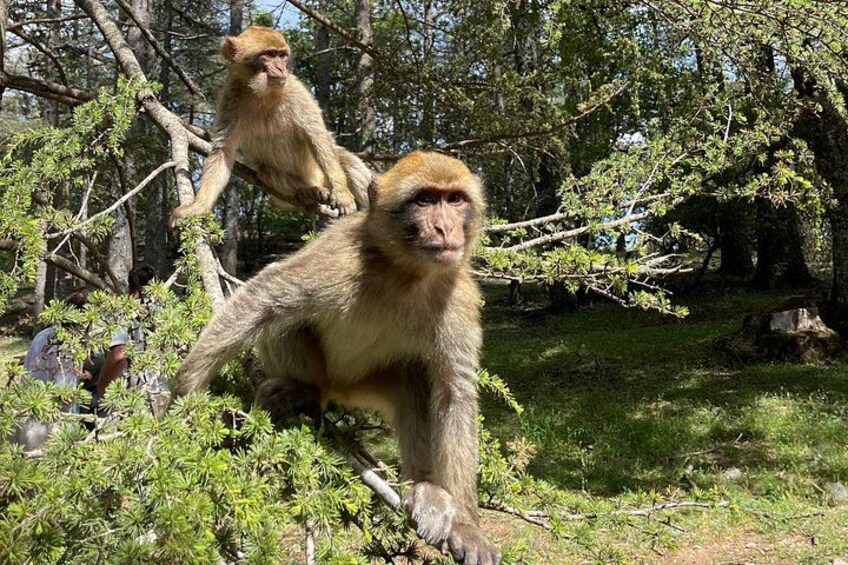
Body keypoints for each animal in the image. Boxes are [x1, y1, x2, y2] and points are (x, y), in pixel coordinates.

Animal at [170, 26, 373, 225]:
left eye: (282, 56)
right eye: (268, 54)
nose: (281, 68)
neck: (263, 93)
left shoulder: (297, 92)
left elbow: (317, 137)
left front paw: (343, 194)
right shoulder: (231, 98)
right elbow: (222, 151)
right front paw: (197, 206)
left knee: (345, 159)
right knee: (267, 171)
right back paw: (310, 193)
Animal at [171, 152, 500, 565]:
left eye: (455, 200)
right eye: (425, 200)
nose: (444, 228)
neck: (407, 274)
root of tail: (339, 389)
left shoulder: (458, 297)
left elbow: (454, 396)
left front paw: (468, 525)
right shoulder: (342, 258)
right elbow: (268, 292)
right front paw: (180, 397)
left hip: (371, 384)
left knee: (413, 381)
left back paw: (425, 487)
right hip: (329, 372)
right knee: (287, 319)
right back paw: (304, 392)